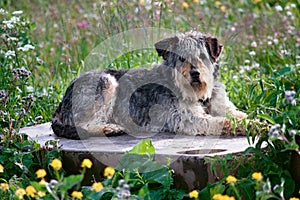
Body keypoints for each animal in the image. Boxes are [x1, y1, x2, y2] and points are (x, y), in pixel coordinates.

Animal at [51, 30, 246, 139]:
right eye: (181, 58)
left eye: (202, 56)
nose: (195, 73)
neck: (202, 97)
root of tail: (60, 106)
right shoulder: (189, 119)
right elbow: (223, 122)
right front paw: (250, 126)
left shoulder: (223, 107)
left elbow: (237, 115)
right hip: (106, 82)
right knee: (83, 126)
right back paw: (111, 128)